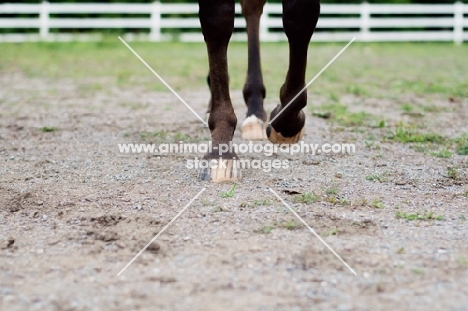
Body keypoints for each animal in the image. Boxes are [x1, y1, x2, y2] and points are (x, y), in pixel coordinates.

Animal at [197, 0, 322, 183]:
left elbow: (300, 16)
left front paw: (288, 122)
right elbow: (217, 22)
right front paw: (220, 150)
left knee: (252, 8)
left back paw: (255, 111)